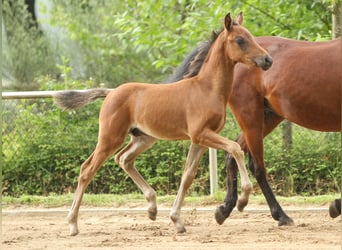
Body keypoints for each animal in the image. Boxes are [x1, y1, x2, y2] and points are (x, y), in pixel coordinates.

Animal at [53, 12, 272, 235]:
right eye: (240, 40)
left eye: (251, 36)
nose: (267, 59)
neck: (207, 89)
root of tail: (111, 92)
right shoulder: (201, 134)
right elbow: (236, 148)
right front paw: (244, 198)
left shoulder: (200, 140)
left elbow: (187, 175)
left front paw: (177, 220)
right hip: (110, 137)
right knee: (87, 169)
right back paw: (72, 223)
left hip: (143, 138)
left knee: (124, 159)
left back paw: (152, 207)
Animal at [169, 35, 342, 225]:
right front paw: (336, 205)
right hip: (251, 116)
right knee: (257, 166)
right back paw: (280, 215)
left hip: (267, 118)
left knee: (233, 152)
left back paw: (225, 208)